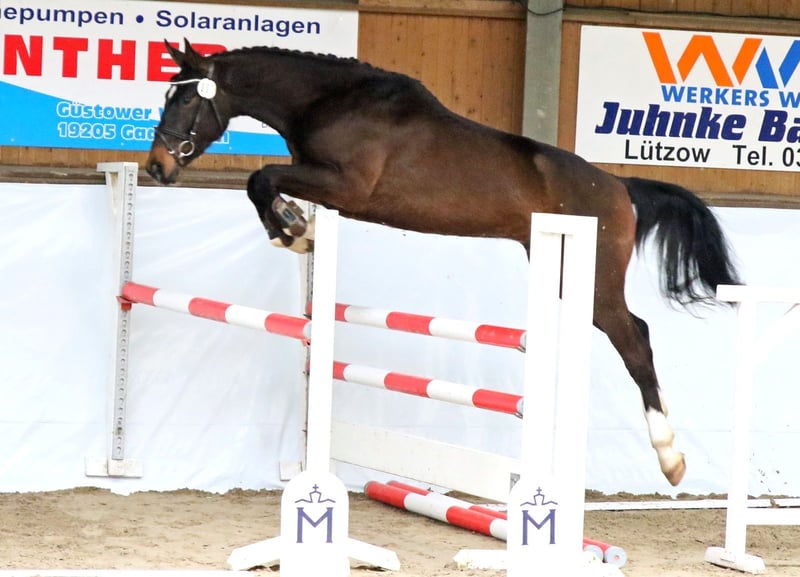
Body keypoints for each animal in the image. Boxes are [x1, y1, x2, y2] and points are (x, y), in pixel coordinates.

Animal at [146, 39, 741, 487]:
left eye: (183, 102)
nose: (156, 168)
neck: (331, 101)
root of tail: (619, 186)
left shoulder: (346, 186)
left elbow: (261, 177)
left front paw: (293, 230)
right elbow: (263, 183)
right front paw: (298, 229)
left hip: (594, 281)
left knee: (635, 339)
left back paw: (670, 458)